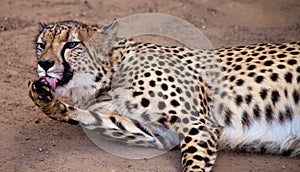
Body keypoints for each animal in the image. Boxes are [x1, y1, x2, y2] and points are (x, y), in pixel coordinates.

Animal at [27, 19, 298, 171]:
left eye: (72, 45)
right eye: (41, 45)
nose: (44, 64)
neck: (108, 76)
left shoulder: (197, 123)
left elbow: (194, 164)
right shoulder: (160, 135)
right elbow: (93, 118)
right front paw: (45, 99)